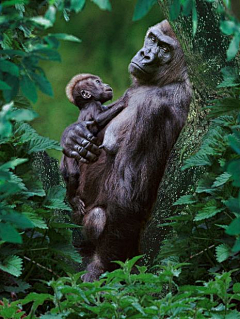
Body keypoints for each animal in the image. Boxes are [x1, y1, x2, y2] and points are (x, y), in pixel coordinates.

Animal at [60, 74, 124, 222]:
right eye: (97, 82)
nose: (106, 85)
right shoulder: (93, 105)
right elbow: (98, 119)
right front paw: (123, 101)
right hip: (70, 158)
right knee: (73, 174)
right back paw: (72, 199)